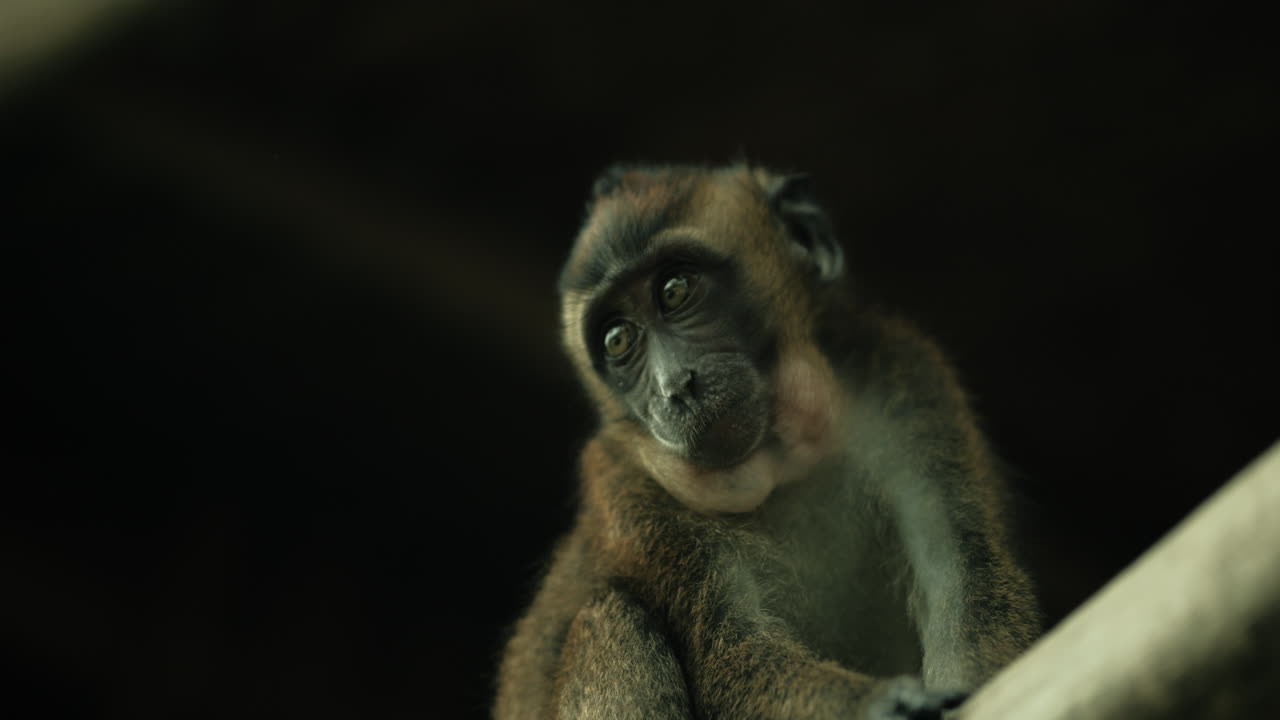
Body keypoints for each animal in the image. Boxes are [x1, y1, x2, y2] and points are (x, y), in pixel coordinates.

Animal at [494, 164, 1039, 720]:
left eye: (674, 290)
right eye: (619, 340)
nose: (674, 387)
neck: (783, 464)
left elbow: (962, 574)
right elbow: (735, 658)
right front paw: (888, 702)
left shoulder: (904, 380)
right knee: (609, 622)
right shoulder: (628, 488)